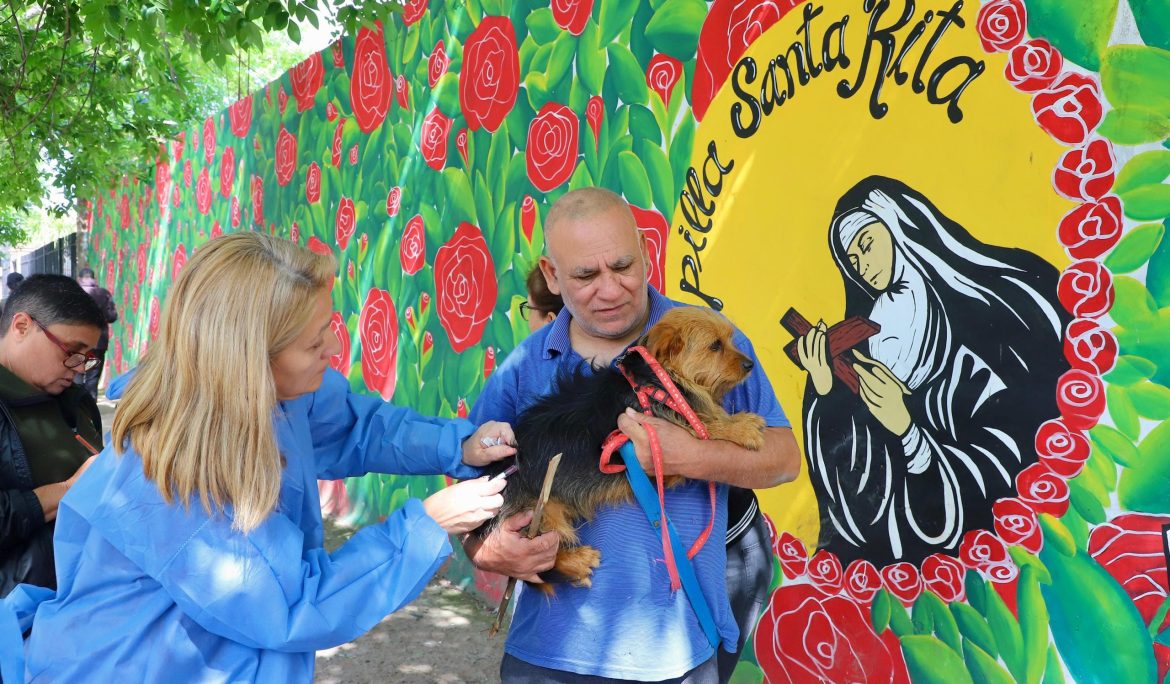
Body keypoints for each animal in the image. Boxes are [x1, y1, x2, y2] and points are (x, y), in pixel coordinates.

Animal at [475, 306, 767, 589]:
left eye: (730, 340)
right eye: (715, 346)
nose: (750, 364)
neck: (659, 379)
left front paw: (736, 421)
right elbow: (705, 429)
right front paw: (741, 427)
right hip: (540, 511)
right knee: (540, 557)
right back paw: (578, 561)